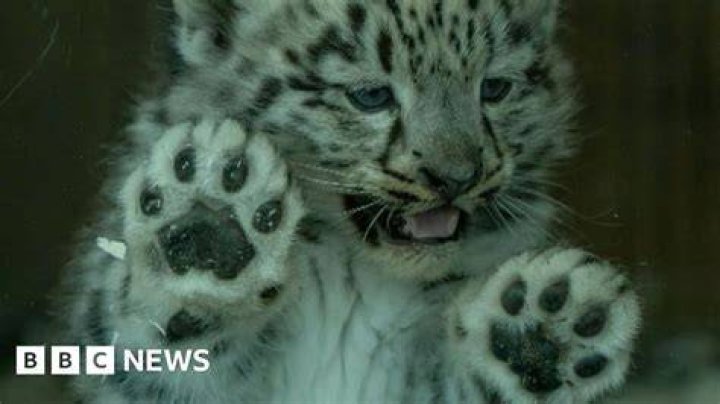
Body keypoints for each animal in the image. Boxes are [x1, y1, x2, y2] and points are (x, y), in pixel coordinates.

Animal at [57, 0, 642, 402]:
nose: (456, 177)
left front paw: (550, 321)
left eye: (495, 88)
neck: (354, 283)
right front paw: (210, 211)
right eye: (370, 95)